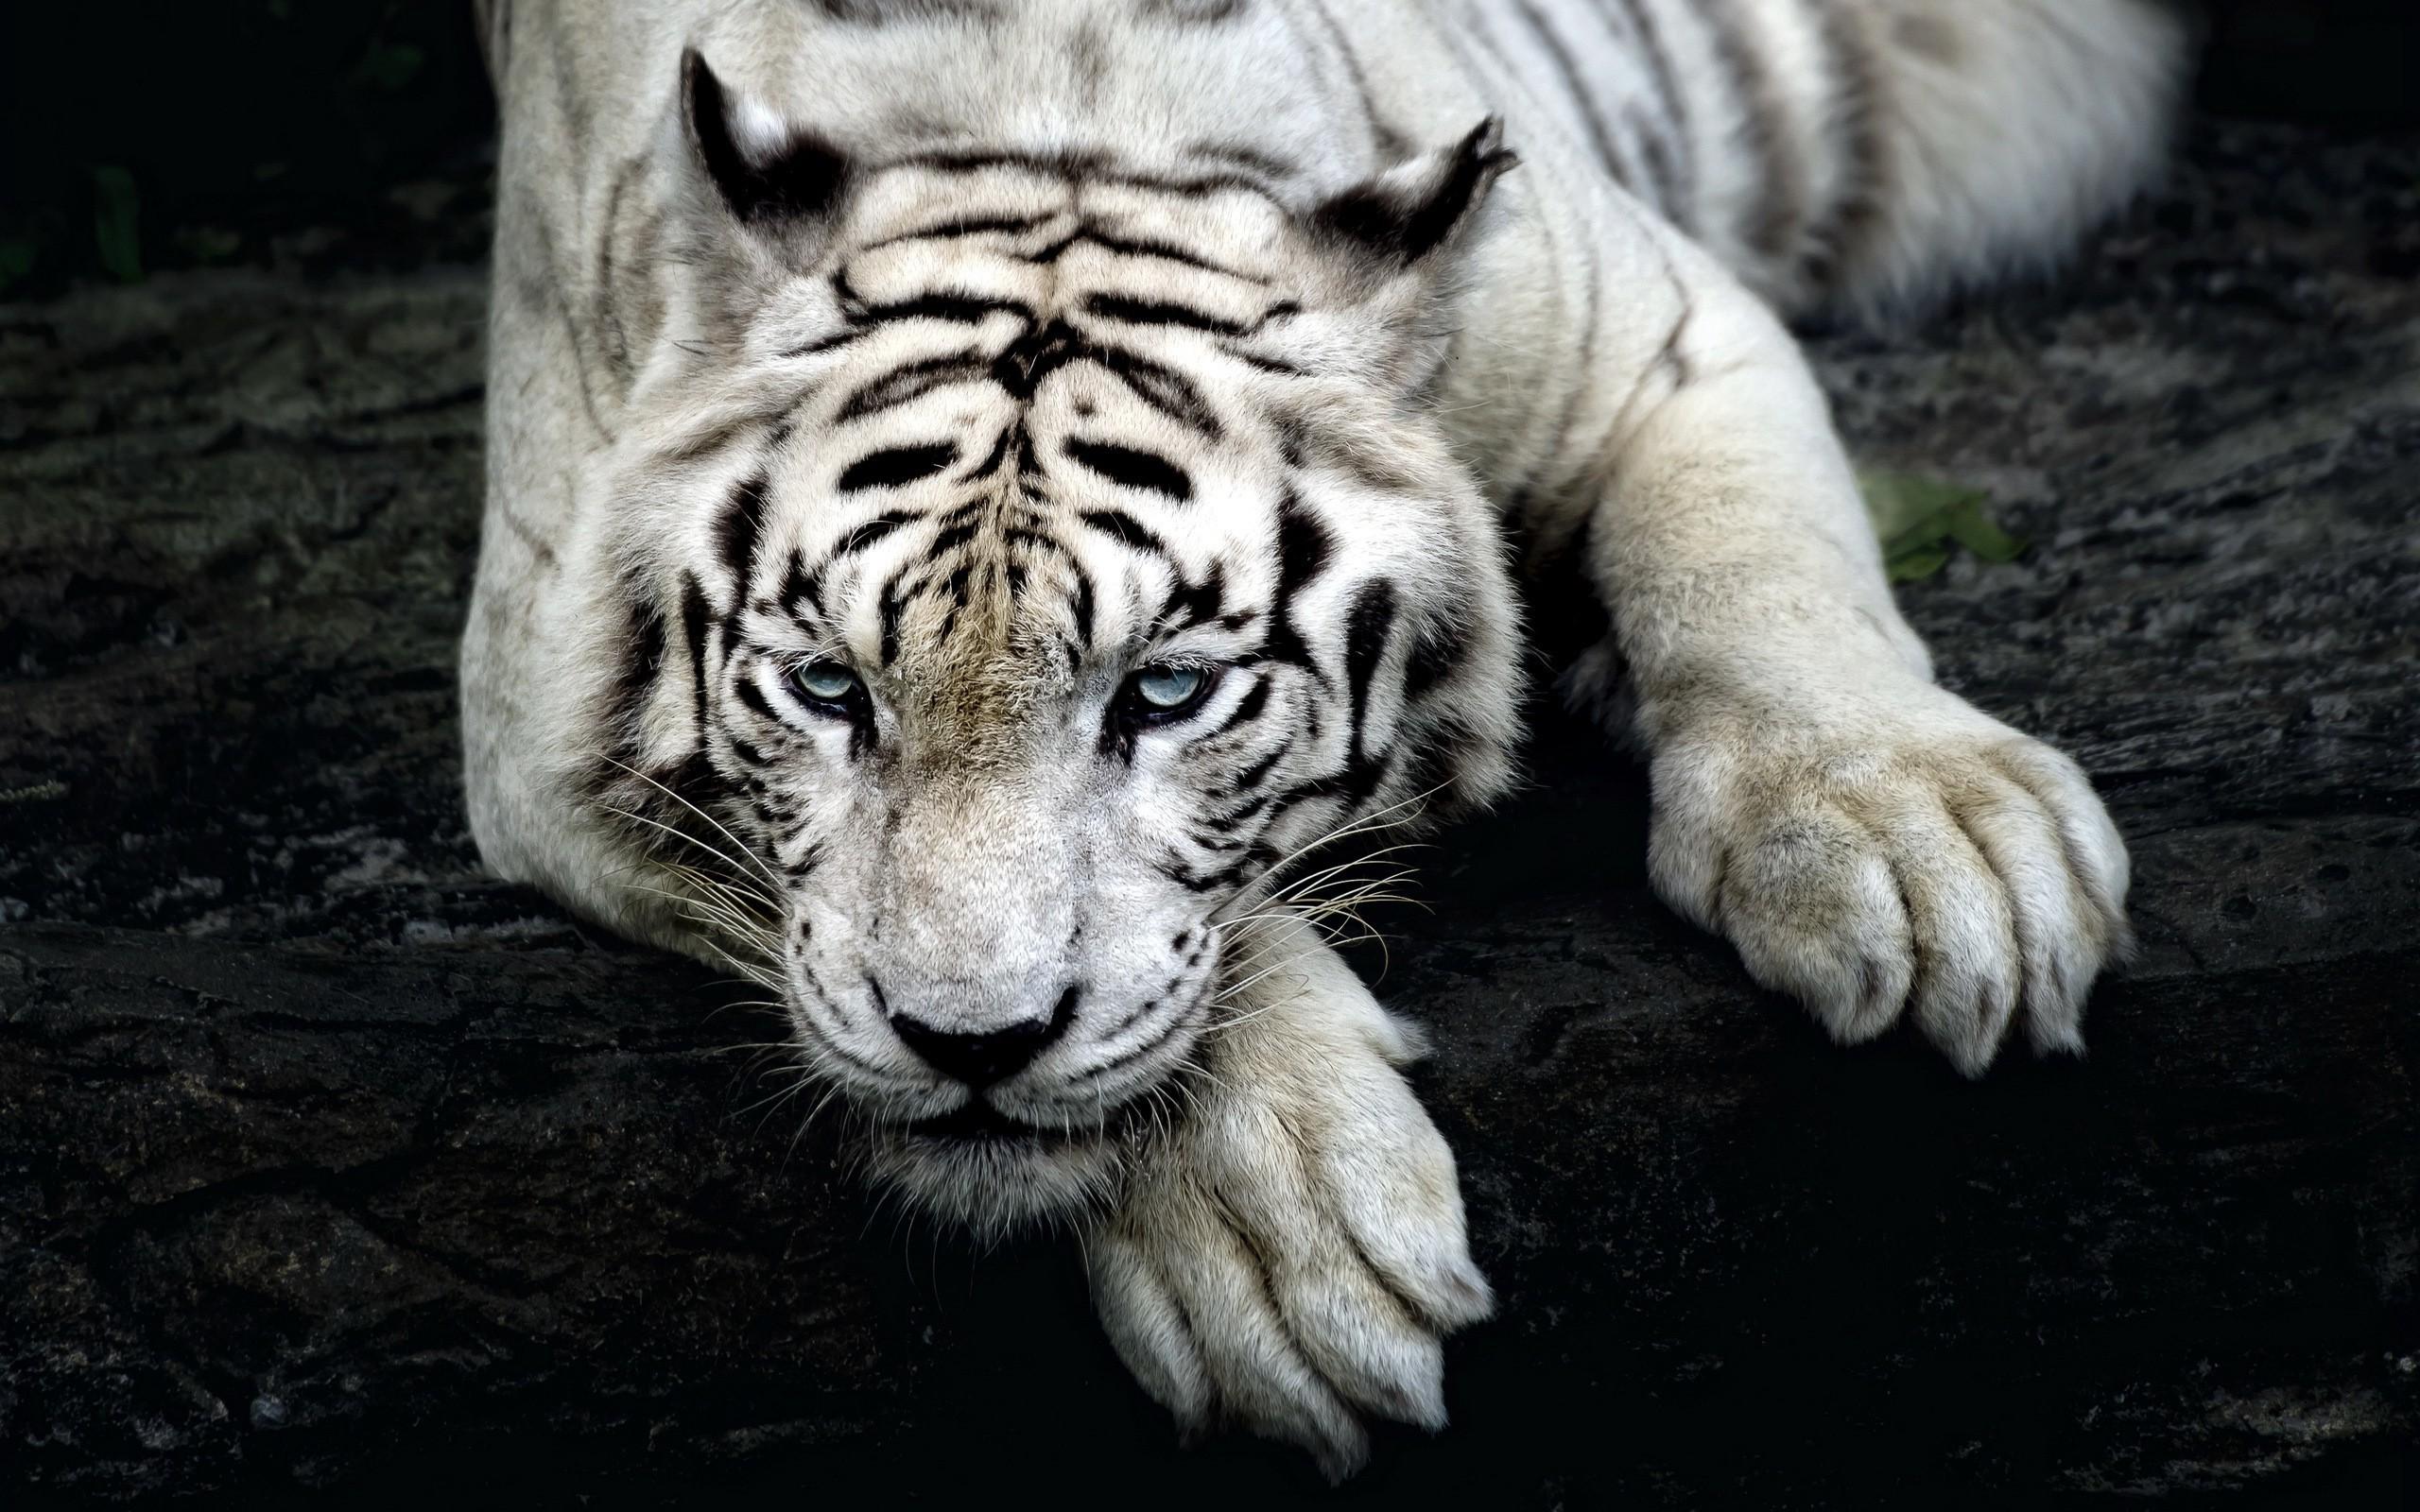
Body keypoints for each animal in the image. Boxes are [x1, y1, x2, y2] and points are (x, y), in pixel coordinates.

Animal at [459, 0, 2182, 1477]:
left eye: (1164, 691)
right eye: (829, 689)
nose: (967, 1048)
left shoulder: (1665, 332)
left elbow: (1759, 564)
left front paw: (1933, 850)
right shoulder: (535, 709)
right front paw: (1283, 1240)